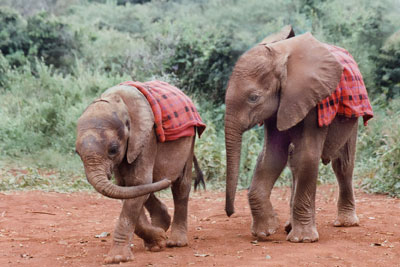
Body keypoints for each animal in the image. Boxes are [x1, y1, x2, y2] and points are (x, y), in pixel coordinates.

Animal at [75, 80, 206, 264]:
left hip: (190, 139)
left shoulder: (147, 136)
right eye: (77, 153)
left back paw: (176, 242)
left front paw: (117, 258)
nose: (166, 179)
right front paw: (157, 241)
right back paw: (161, 225)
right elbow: (127, 187)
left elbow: (138, 183)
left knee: (181, 185)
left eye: (113, 150)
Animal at [223, 26, 374, 244]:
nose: (230, 212)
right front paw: (266, 231)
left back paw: (345, 223)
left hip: (352, 117)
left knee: (343, 165)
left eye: (253, 98)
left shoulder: (313, 101)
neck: (281, 58)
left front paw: (302, 240)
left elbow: (307, 156)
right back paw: (288, 226)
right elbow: (271, 157)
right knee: (294, 163)